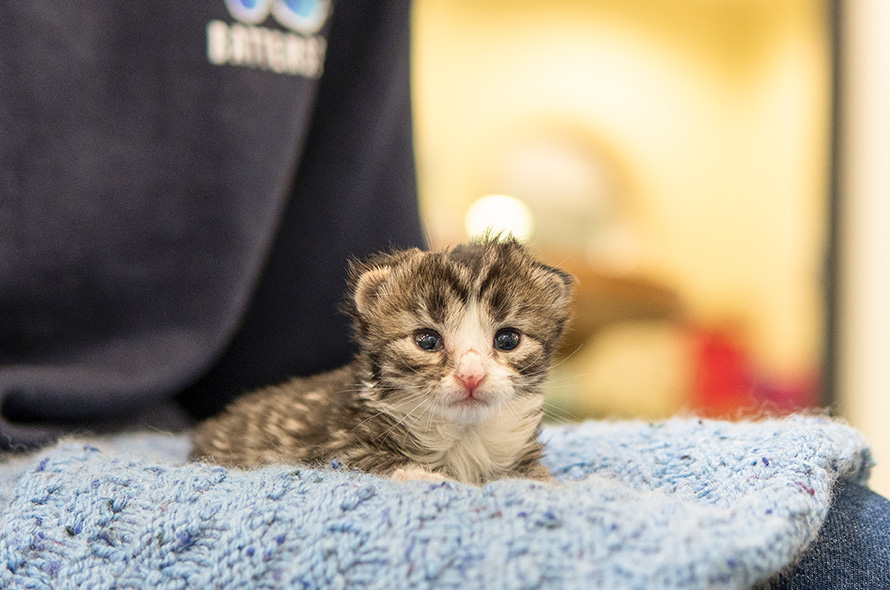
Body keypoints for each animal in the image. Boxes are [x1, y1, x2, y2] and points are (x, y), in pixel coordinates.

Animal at [191, 237, 572, 486]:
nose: (471, 376)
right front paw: (424, 476)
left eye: (507, 340)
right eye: (427, 340)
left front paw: (541, 482)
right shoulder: (337, 447)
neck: (463, 436)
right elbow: (373, 461)